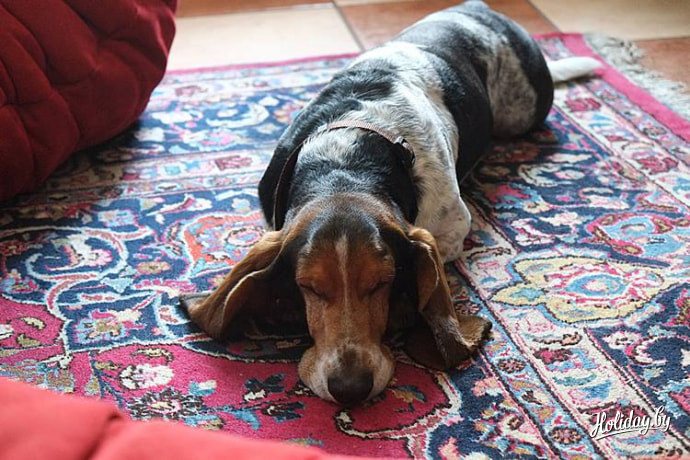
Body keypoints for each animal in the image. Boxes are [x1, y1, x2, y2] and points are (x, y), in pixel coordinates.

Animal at [181, 0, 600, 405]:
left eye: (382, 283)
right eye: (309, 287)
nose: (350, 389)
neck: (345, 164)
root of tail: (485, 12)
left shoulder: (450, 228)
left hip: (522, 113)